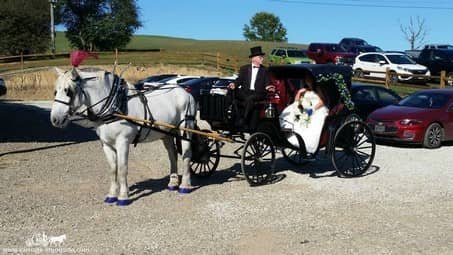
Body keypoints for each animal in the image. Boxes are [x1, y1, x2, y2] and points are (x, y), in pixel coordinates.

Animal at [51, 67, 196, 205]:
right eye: (55, 91)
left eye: (68, 91)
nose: (55, 119)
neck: (114, 107)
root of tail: (186, 92)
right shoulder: (106, 144)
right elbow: (112, 169)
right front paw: (111, 195)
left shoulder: (123, 142)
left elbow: (122, 169)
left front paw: (123, 197)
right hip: (167, 134)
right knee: (172, 155)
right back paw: (173, 183)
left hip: (185, 129)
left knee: (187, 155)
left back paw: (185, 185)